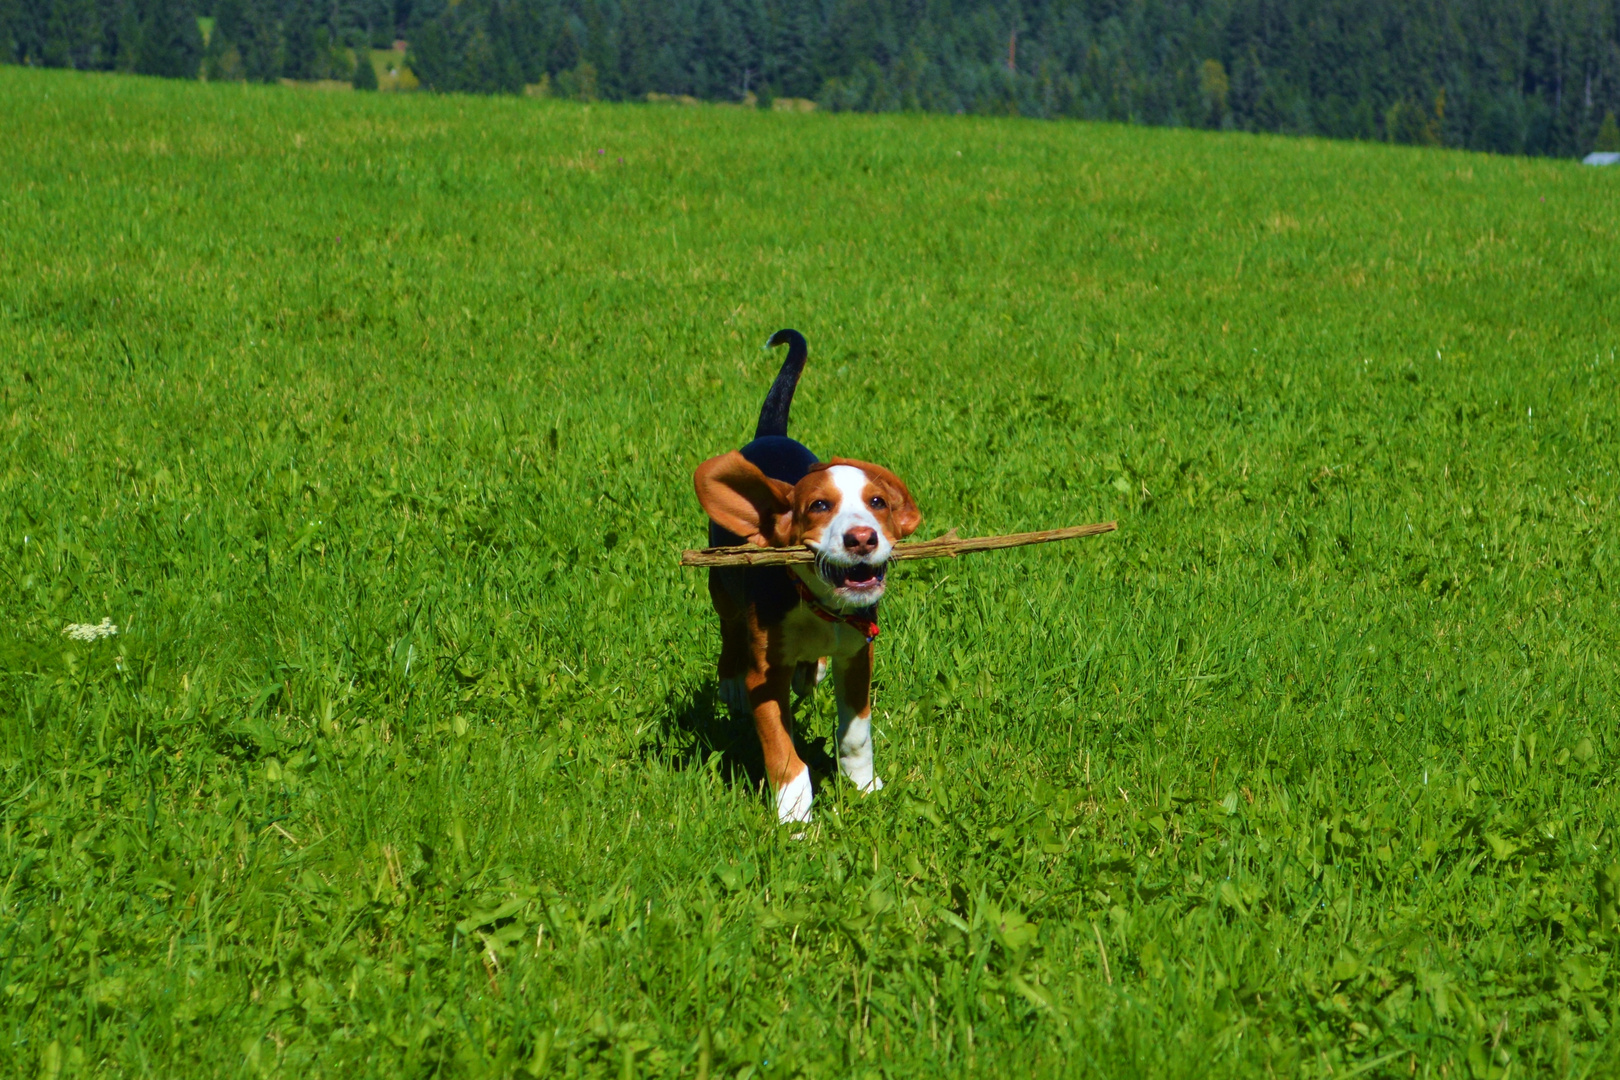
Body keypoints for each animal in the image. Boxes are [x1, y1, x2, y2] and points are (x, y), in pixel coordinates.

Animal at [696, 327, 926, 819]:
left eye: (878, 503)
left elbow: (856, 732)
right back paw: (731, 685)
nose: (862, 539)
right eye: (819, 506)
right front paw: (794, 813)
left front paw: (863, 785)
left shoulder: (858, 655)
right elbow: (782, 748)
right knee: (730, 627)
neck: (819, 604)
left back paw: (810, 670)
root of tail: (770, 435)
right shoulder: (766, 675)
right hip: (721, 582)